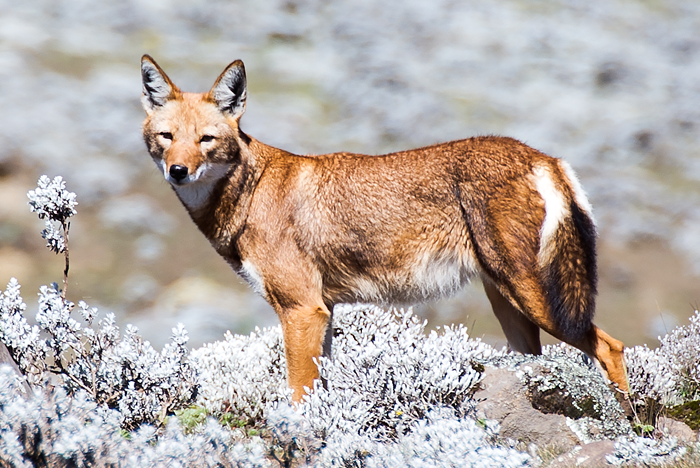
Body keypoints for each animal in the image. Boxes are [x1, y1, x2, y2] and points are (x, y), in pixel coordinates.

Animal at [141, 55, 628, 402]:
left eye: (206, 139)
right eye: (167, 137)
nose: (178, 171)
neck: (250, 190)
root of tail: (543, 157)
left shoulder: (302, 310)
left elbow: (298, 394)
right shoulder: (322, 312)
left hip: (540, 302)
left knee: (611, 347)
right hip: (510, 307)